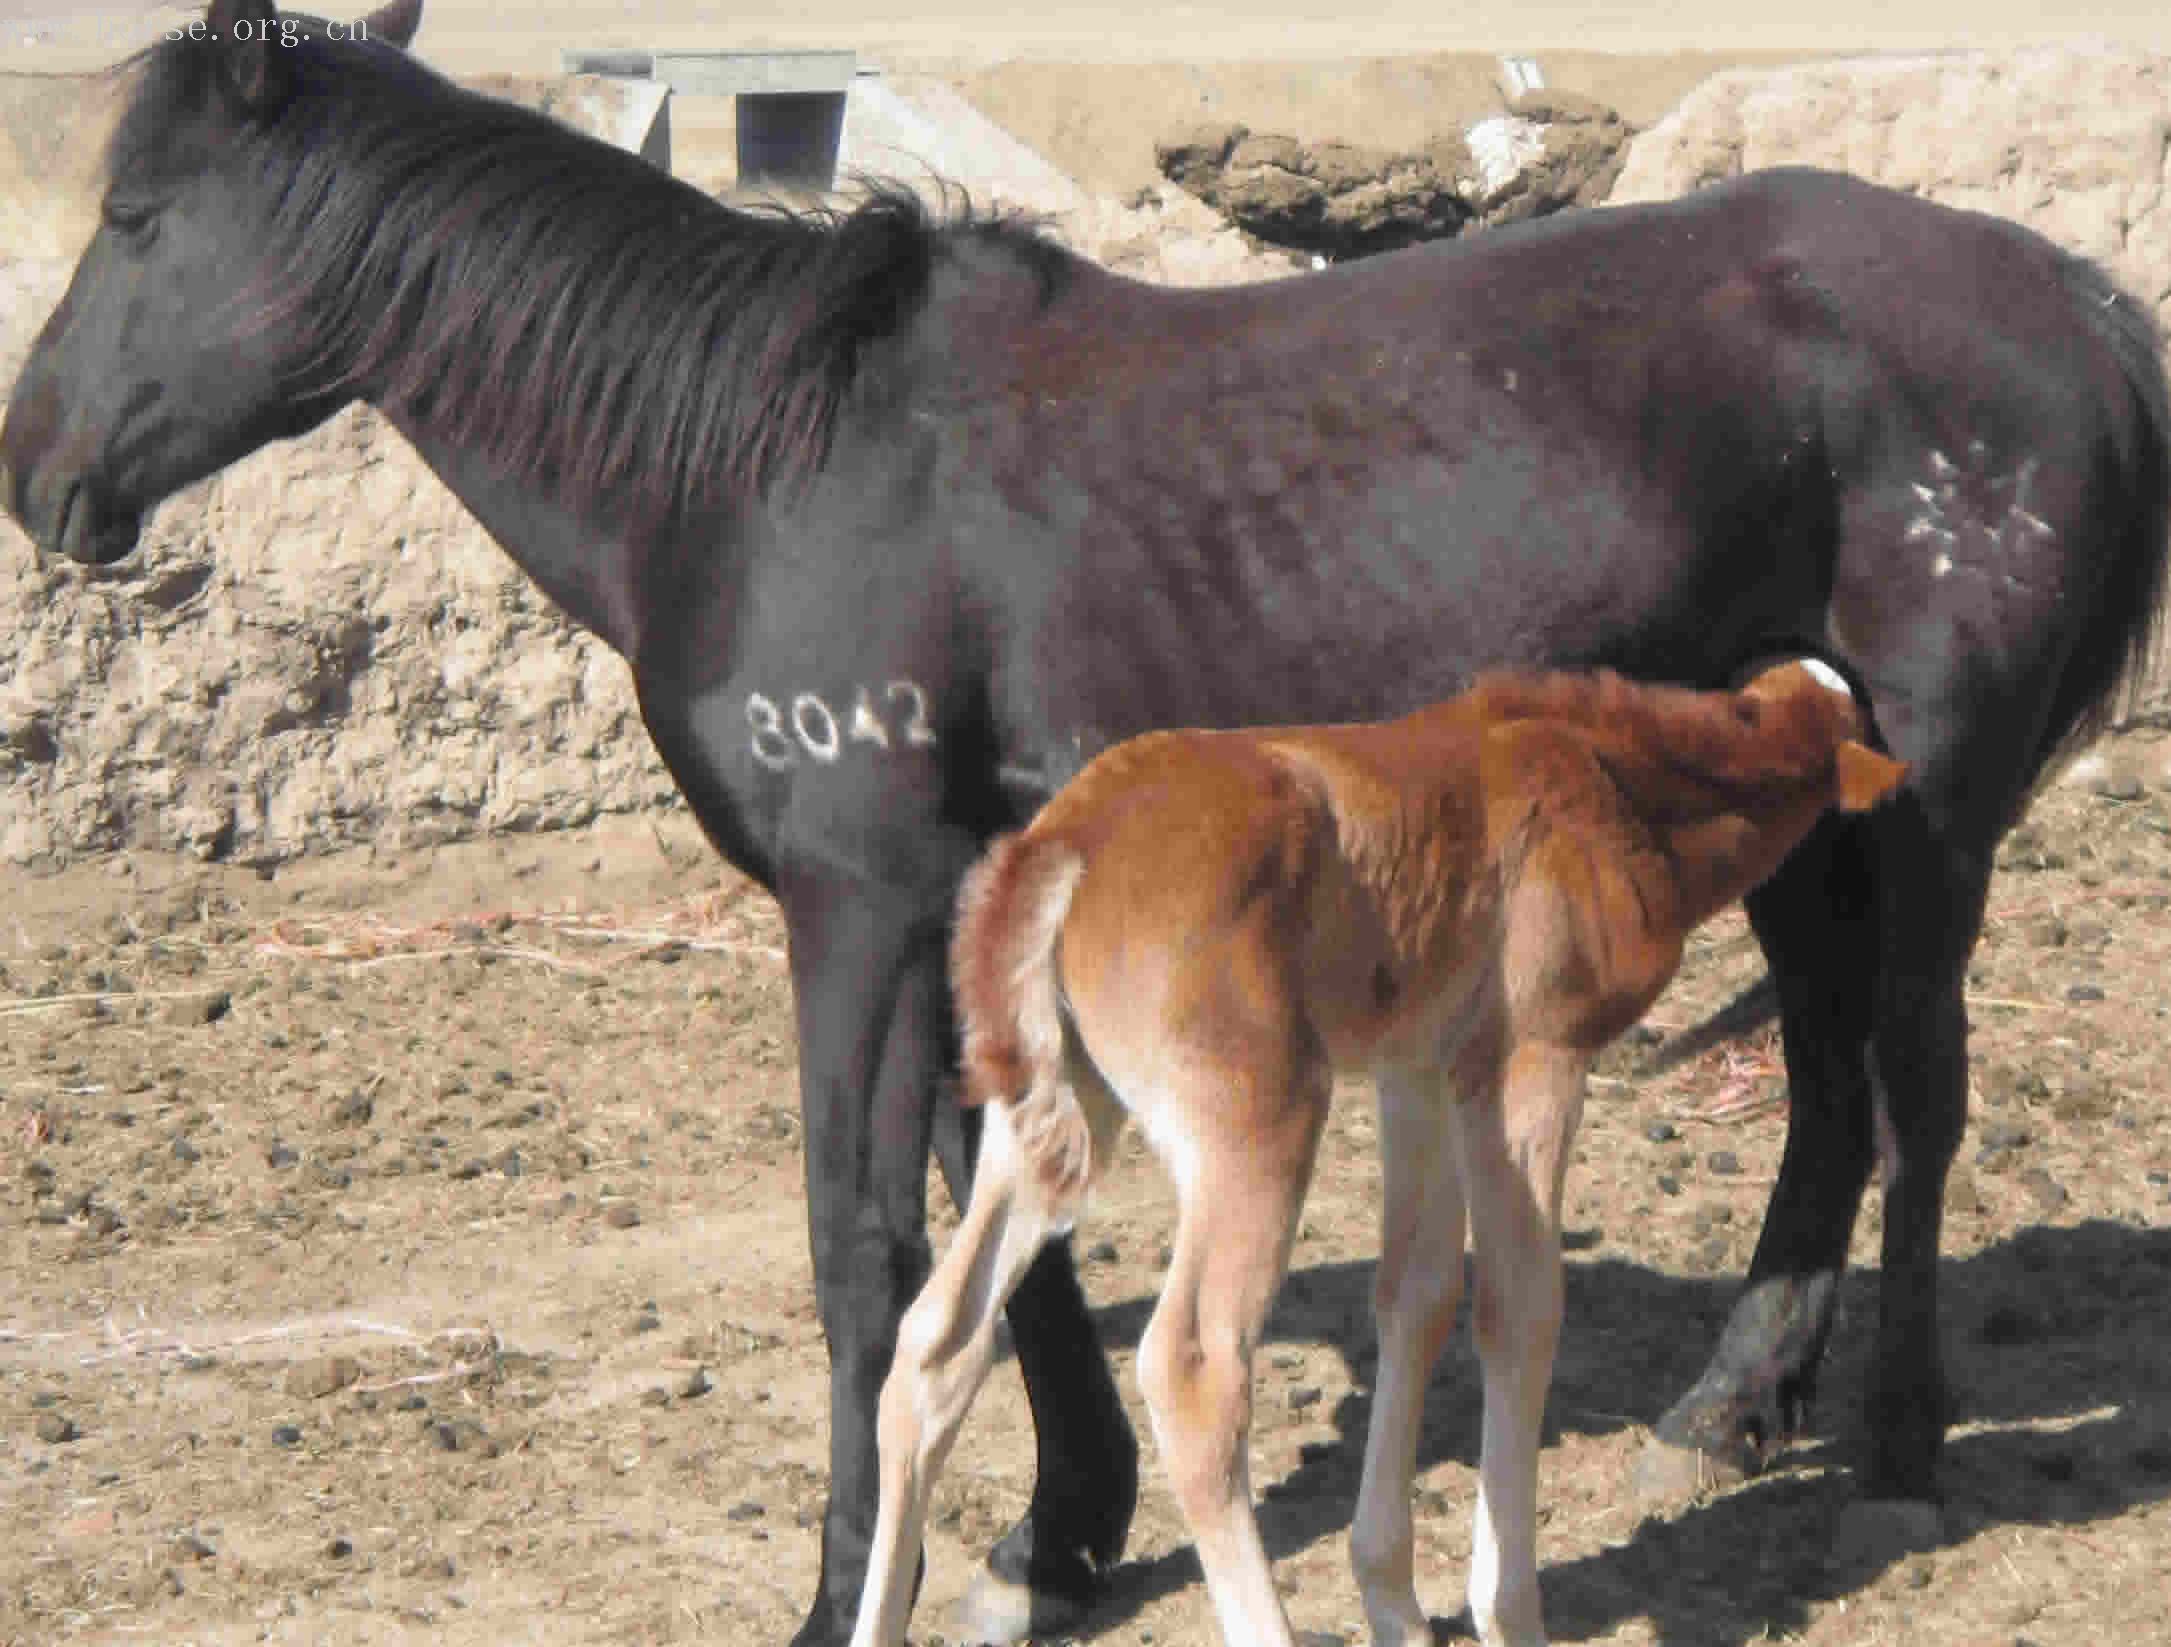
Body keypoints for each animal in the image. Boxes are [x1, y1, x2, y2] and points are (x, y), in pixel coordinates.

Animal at [846, 659, 1901, 1647]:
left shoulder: (1417, 1070)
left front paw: (1391, 1597)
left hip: (1053, 1115)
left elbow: (1417, 1294)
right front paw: (1505, 1610)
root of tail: (1063, 844)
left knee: (936, 1341)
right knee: (1194, 1367)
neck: (1610, 776)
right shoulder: (1530, 1058)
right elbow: (1518, 1306)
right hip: (1256, 1123)